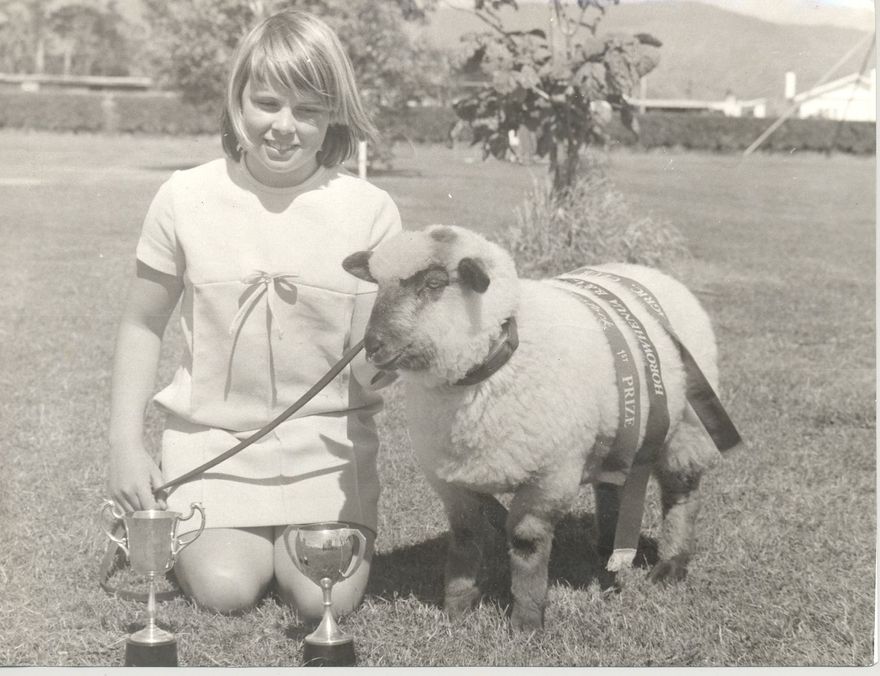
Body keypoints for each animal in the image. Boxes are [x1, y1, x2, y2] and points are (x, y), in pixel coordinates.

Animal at [342, 224, 731, 632]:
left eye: (434, 283)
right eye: (376, 284)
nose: (372, 345)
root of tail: (650, 272)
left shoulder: (550, 475)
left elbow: (527, 543)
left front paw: (527, 620)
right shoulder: (449, 478)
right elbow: (465, 537)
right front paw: (457, 608)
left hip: (686, 428)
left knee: (682, 494)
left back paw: (671, 564)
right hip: (619, 431)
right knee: (612, 487)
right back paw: (607, 546)